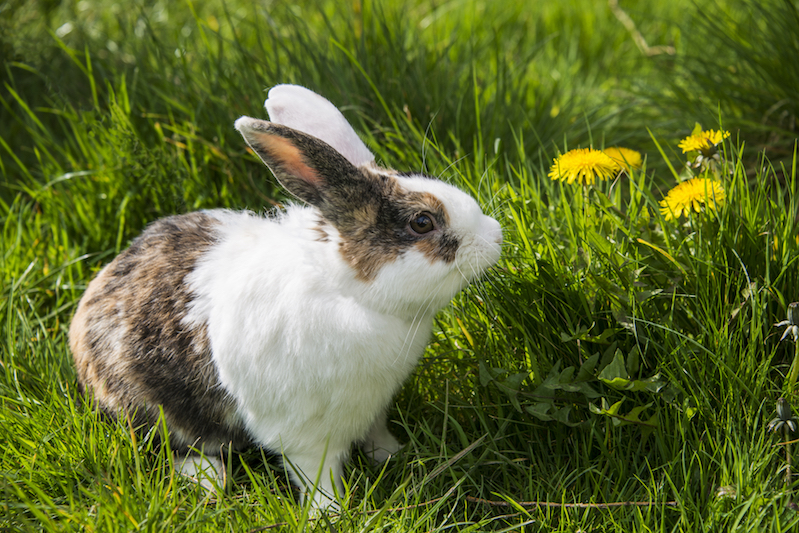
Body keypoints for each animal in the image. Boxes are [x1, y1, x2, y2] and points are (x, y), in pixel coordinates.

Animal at [72, 83, 504, 508]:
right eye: (422, 222)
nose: (496, 236)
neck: (350, 293)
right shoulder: (303, 431)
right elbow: (317, 476)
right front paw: (330, 515)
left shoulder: (373, 408)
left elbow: (377, 433)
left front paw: (394, 454)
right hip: (148, 407)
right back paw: (208, 478)